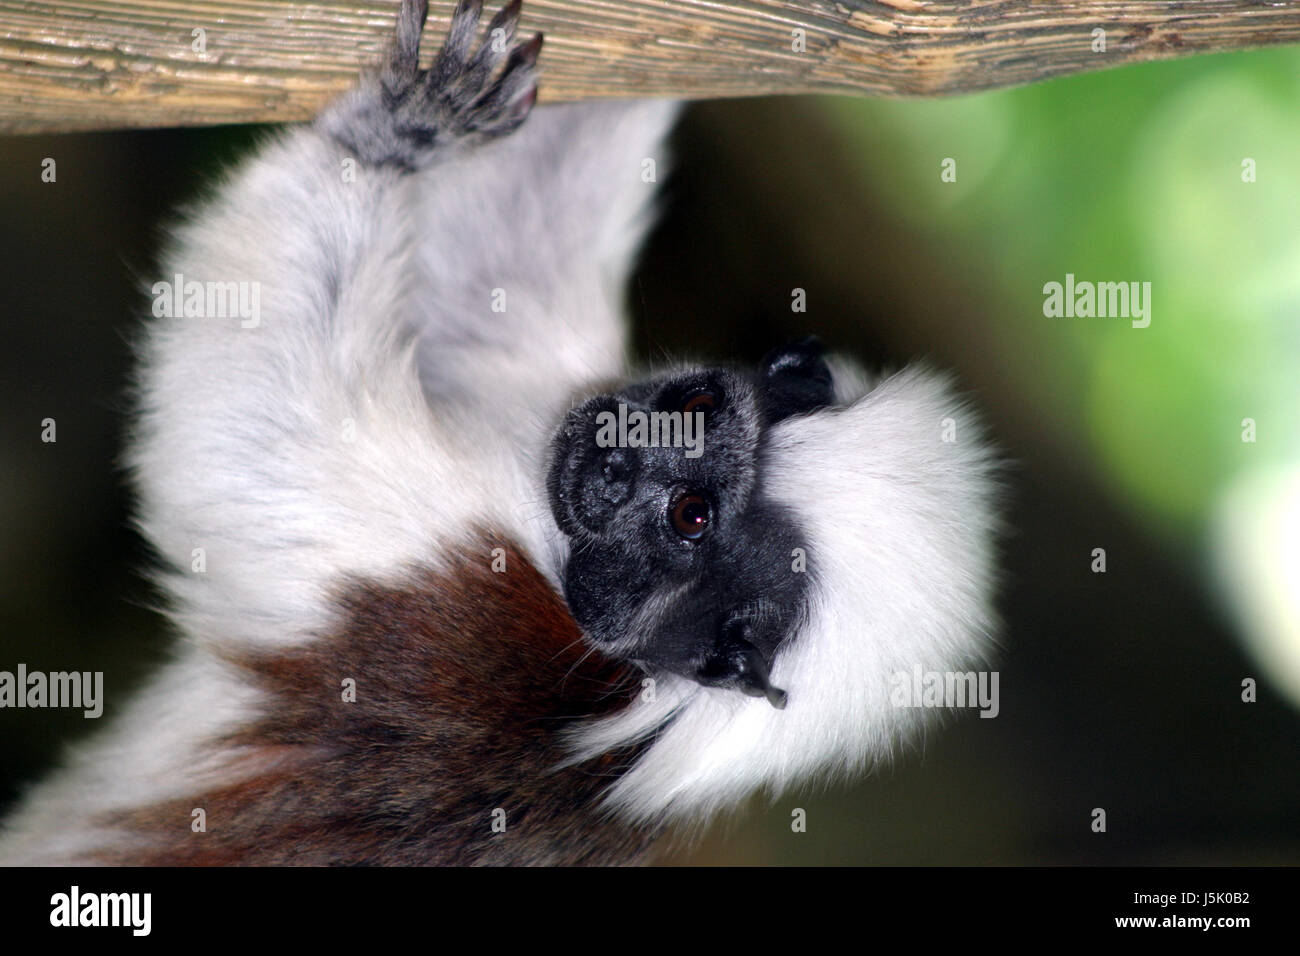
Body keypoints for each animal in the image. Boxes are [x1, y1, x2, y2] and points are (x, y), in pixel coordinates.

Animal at [0, 0, 1003, 868]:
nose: (619, 458)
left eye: (688, 519)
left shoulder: (449, 609)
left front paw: (394, 139)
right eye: (692, 414)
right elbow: (482, 289)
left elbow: (241, 440)